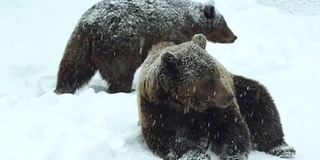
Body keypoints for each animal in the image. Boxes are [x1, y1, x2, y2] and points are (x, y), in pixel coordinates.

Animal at [54, 0, 238, 94]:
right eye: (224, 24)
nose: (234, 36)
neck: (190, 21)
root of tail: (91, 26)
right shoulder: (174, 31)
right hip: (120, 44)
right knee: (121, 71)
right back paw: (126, 89)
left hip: (79, 42)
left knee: (73, 68)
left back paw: (62, 88)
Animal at [138, 34, 296, 159]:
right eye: (208, 80)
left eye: (218, 73)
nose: (229, 97)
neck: (185, 104)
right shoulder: (156, 107)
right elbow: (165, 137)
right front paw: (197, 154)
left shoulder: (214, 109)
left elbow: (231, 126)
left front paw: (232, 154)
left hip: (241, 89)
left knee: (262, 108)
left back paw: (282, 148)